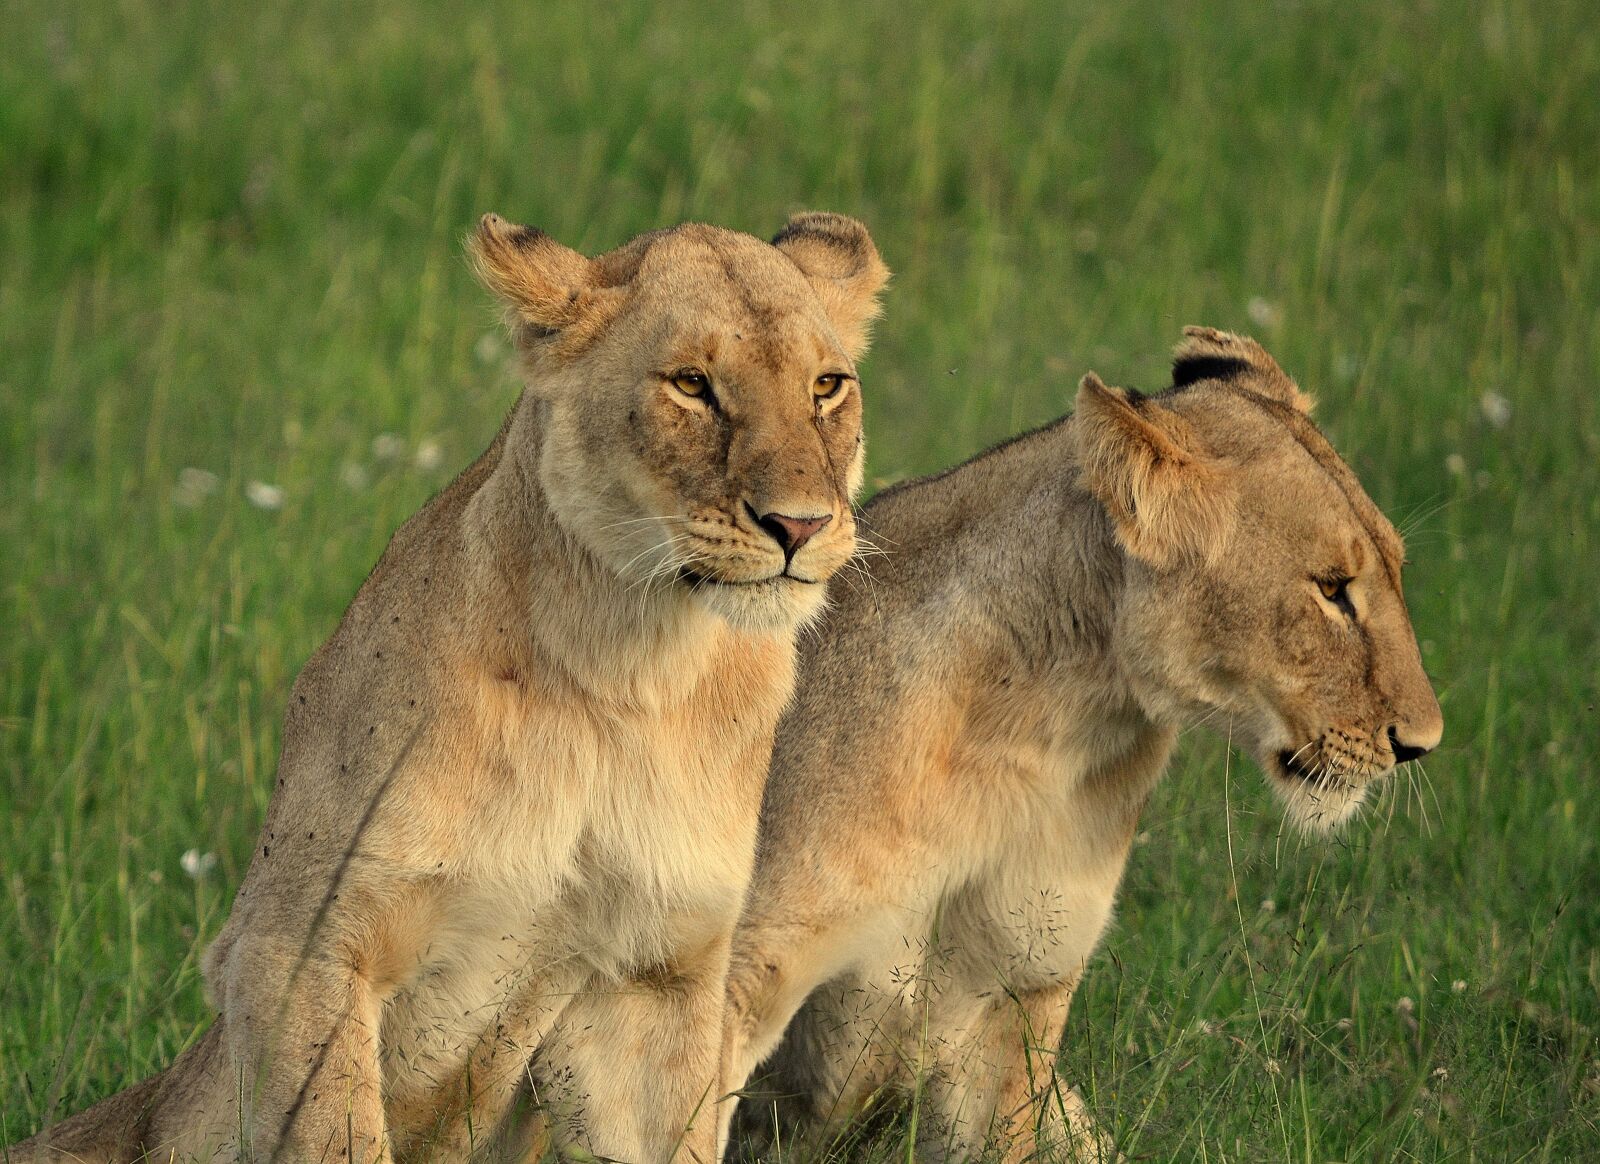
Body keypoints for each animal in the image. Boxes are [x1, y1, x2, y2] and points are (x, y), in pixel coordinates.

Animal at [12, 211, 889, 1164]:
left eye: (827, 385)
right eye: (692, 384)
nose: (800, 525)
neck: (630, 672)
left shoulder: (652, 980)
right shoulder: (299, 947)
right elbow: (340, 1132)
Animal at [716, 328, 1443, 1162]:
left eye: (1394, 570)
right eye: (1330, 589)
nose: (1423, 742)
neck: (1038, 728)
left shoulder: (1017, 998)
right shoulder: (728, 983)